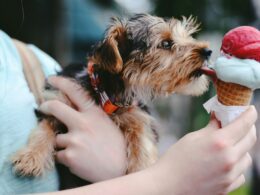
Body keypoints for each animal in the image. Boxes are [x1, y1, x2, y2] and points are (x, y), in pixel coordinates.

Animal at [11, 12, 211, 178]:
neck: (106, 93)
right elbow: (44, 128)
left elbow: (142, 140)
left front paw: (141, 168)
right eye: (166, 43)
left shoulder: (138, 116)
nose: (208, 51)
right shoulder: (57, 100)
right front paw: (31, 157)